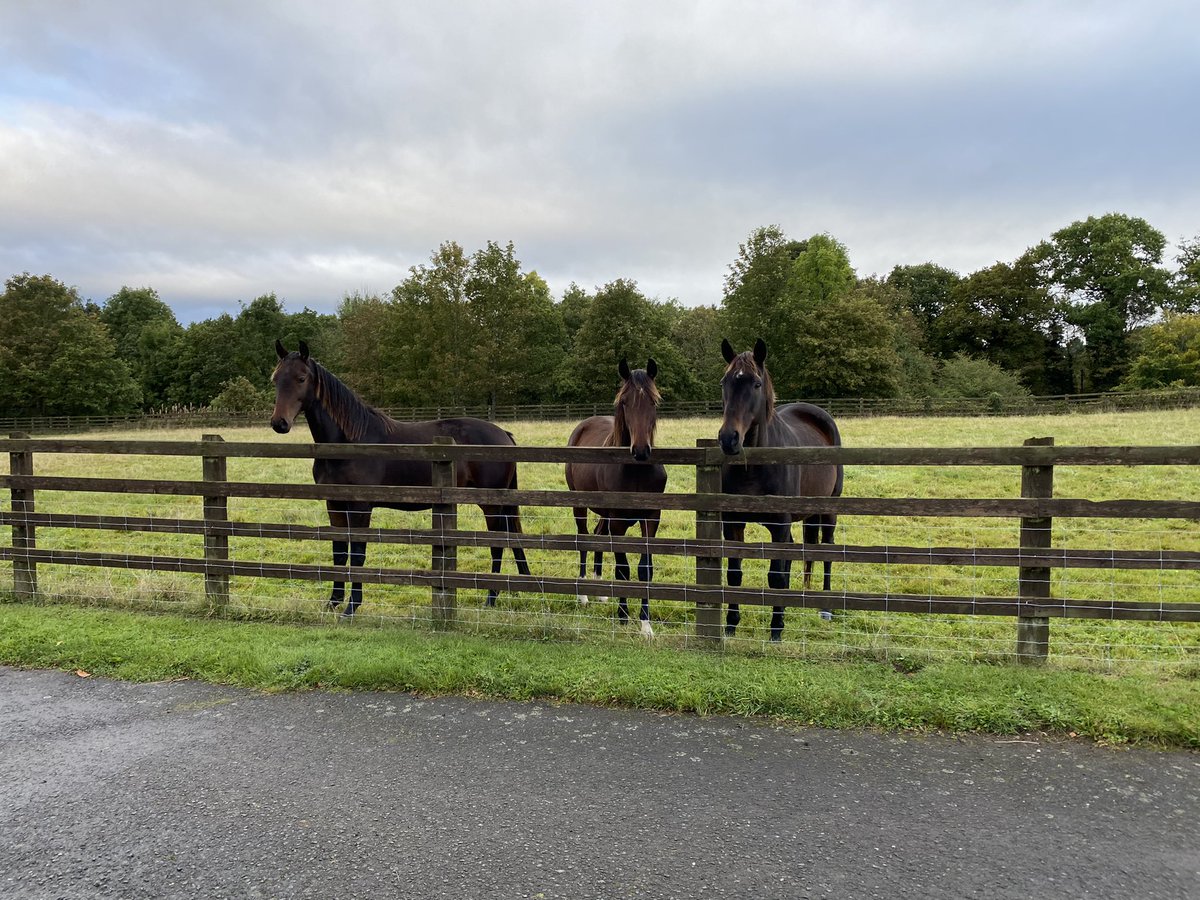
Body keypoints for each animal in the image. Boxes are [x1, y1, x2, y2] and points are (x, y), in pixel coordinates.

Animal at [274, 340, 537, 619]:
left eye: (301, 378)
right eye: (276, 379)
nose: (279, 423)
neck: (349, 442)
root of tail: (504, 434)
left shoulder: (360, 507)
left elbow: (357, 554)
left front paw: (352, 606)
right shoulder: (334, 504)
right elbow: (339, 552)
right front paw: (333, 601)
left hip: (491, 504)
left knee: (497, 545)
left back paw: (491, 598)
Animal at [561, 355, 667, 638]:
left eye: (653, 401)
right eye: (624, 402)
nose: (640, 451)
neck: (636, 471)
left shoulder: (651, 518)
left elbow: (644, 568)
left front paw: (646, 625)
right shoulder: (618, 522)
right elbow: (623, 567)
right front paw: (622, 615)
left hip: (605, 514)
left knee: (598, 536)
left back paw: (601, 591)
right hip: (580, 505)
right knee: (585, 537)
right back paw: (584, 595)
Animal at [710, 338, 844, 643]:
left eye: (756, 383)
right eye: (724, 382)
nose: (729, 439)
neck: (755, 466)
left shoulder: (779, 524)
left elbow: (776, 576)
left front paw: (776, 629)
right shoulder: (732, 524)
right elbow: (734, 573)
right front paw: (731, 625)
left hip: (828, 506)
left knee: (827, 548)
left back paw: (826, 608)